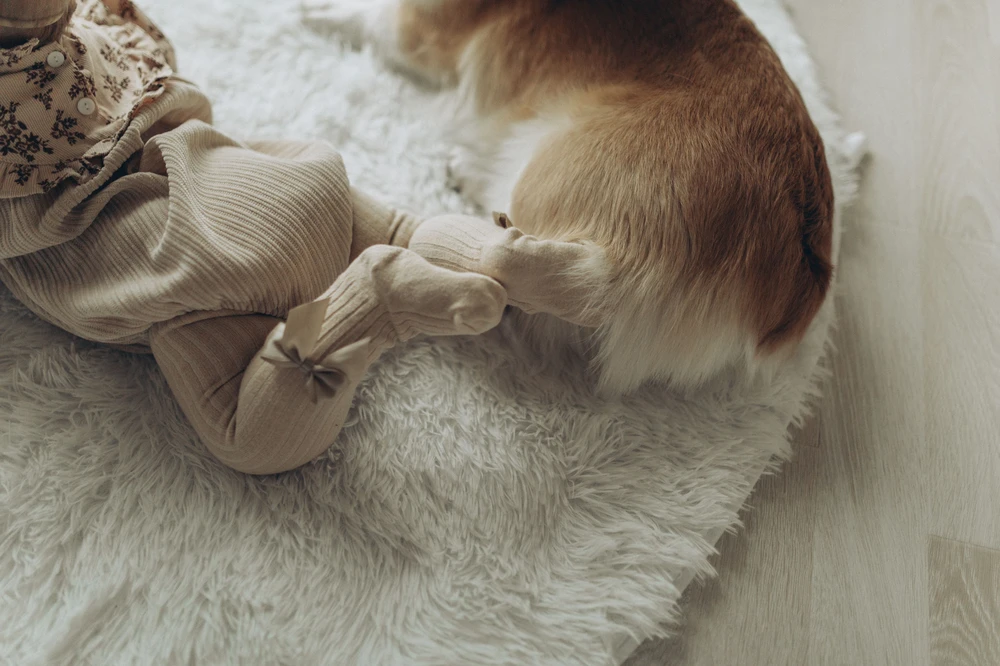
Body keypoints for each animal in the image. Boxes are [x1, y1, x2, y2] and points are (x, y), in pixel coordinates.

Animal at [300, 0, 832, 392]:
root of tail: (794, 288)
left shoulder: (414, 30)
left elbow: (363, 20)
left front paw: (313, 14)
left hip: (550, 165)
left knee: (572, 282)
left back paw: (488, 237)